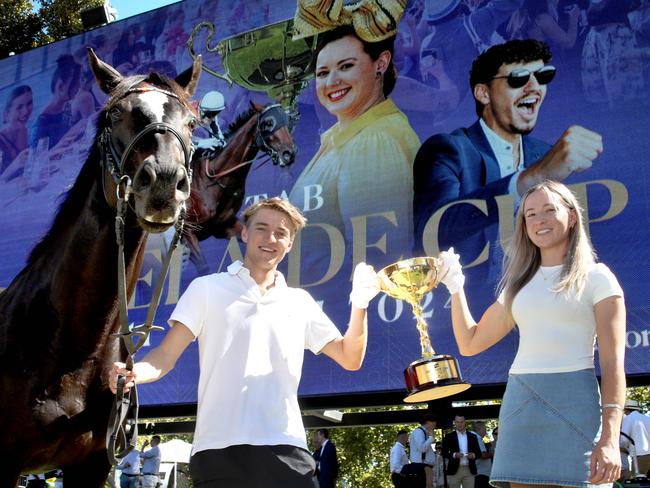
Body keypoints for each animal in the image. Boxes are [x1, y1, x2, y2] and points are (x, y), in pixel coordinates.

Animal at [181, 102, 294, 274]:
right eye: (268, 122)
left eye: (287, 120)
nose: (289, 154)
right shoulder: (187, 231)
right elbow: (203, 268)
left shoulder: (225, 227)